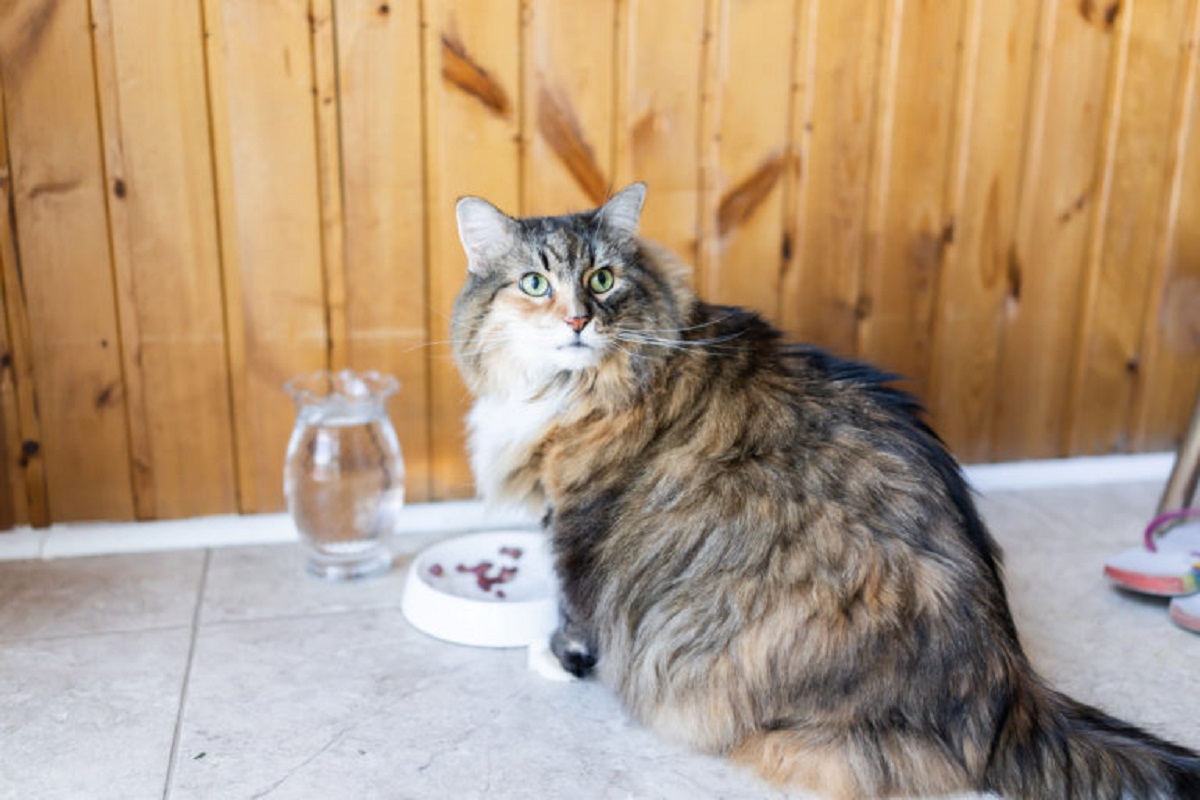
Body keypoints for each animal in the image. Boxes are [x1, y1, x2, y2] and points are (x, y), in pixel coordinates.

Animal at [451, 183, 1200, 800]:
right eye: (535, 283)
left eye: (602, 279)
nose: (578, 320)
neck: (577, 389)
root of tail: (1007, 681)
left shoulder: (578, 521)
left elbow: (575, 610)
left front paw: (555, 660)